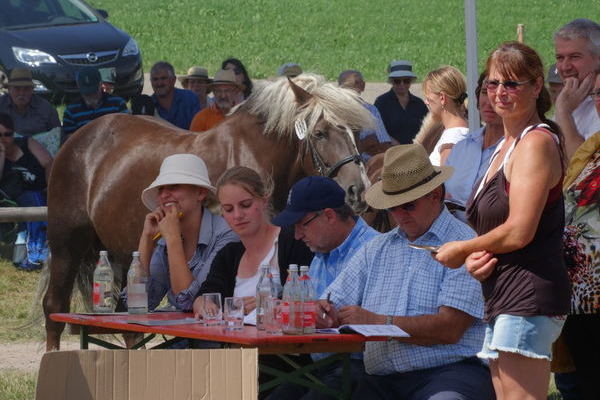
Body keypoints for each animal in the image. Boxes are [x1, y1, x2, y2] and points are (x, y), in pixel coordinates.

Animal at [44, 73, 376, 348]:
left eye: (355, 131)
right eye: (319, 133)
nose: (358, 190)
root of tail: (80, 138)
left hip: (124, 256)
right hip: (65, 247)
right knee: (54, 310)